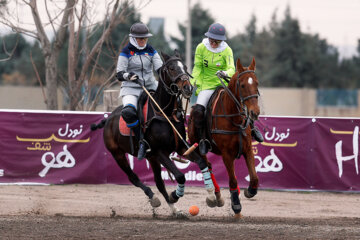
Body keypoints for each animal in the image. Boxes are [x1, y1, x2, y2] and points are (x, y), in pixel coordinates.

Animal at [188, 57, 258, 218]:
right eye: (242, 85)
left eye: (257, 83)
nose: (255, 112)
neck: (234, 119)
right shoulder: (227, 154)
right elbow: (232, 180)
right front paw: (236, 206)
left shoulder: (247, 149)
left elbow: (254, 178)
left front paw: (248, 192)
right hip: (198, 146)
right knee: (207, 165)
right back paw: (215, 197)